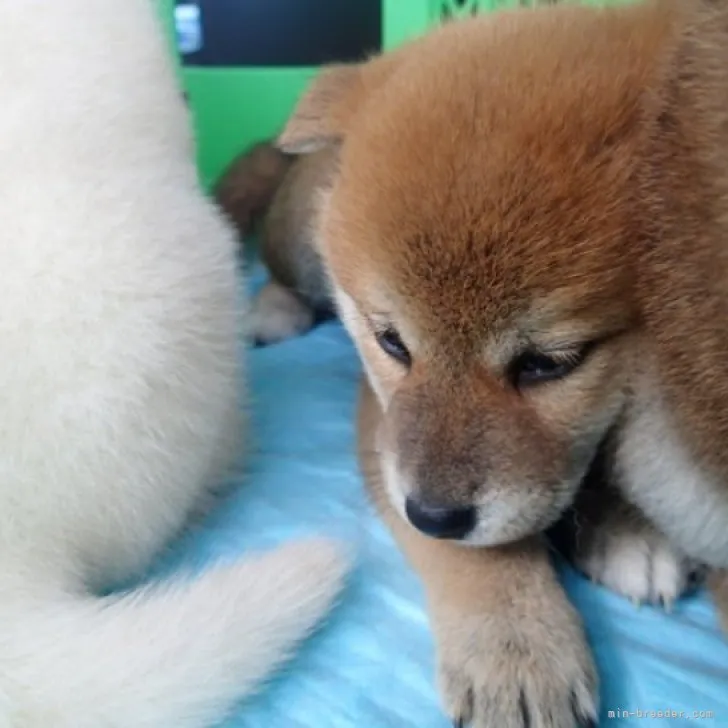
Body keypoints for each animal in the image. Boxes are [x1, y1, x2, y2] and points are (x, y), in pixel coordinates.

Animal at [274, 2, 728, 724]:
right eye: (391, 341)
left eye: (548, 363)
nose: (434, 515)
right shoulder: (383, 423)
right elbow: (479, 556)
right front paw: (517, 648)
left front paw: (626, 525)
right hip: (294, 238)